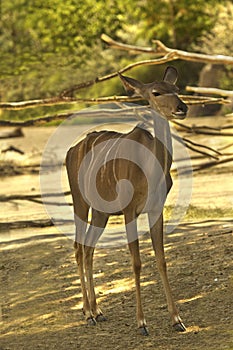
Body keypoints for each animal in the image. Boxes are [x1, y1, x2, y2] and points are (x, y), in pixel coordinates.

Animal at [65, 66, 187, 336]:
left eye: (177, 89)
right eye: (156, 92)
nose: (182, 108)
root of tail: (71, 150)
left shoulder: (156, 209)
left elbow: (161, 259)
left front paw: (177, 320)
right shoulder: (130, 210)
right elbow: (137, 262)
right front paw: (142, 323)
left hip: (101, 212)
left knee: (88, 248)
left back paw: (98, 311)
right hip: (80, 202)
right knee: (78, 247)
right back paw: (87, 313)